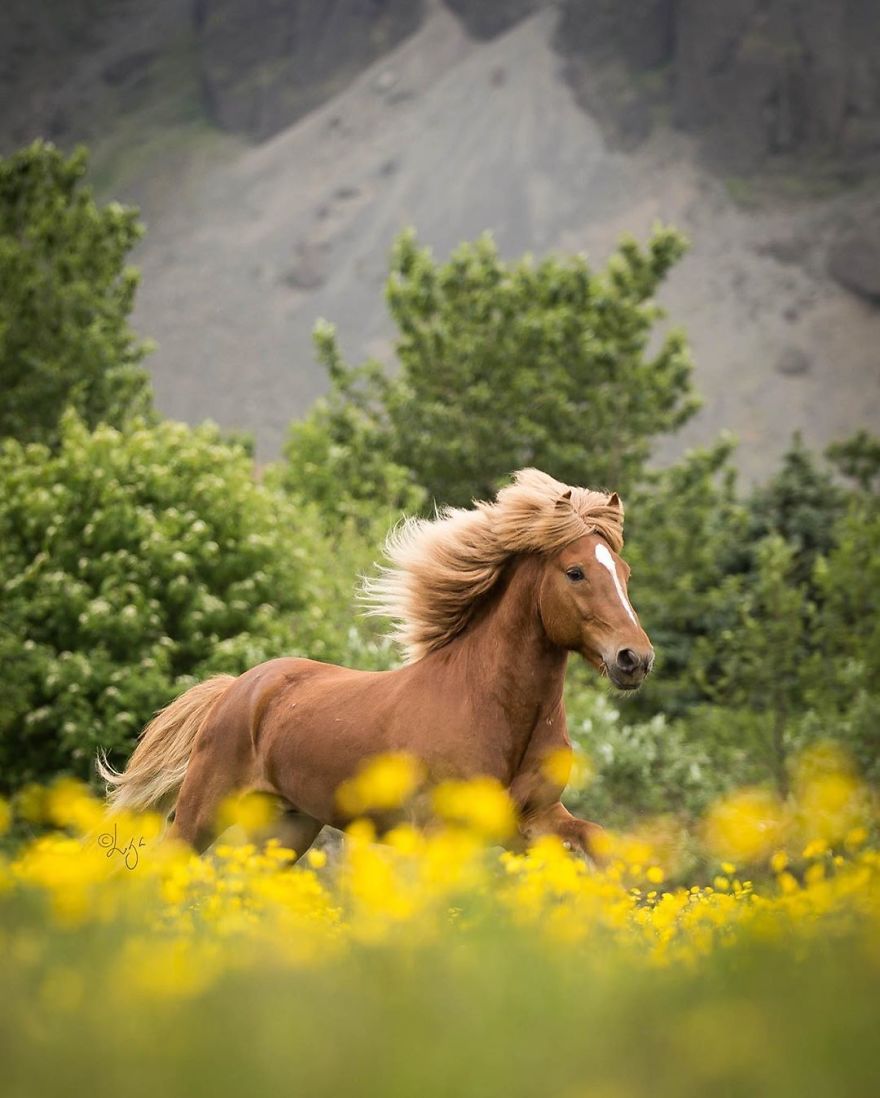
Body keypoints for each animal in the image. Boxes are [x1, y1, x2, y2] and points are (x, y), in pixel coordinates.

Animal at [98, 468, 654, 862]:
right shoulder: (440, 830)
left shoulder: (533, 819)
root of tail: (239, 687)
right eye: (575, 572)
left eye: (625, 573)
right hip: (203, 809)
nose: (635, 658)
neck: (492, 708)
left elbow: (597, 842)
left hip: (288, 825)